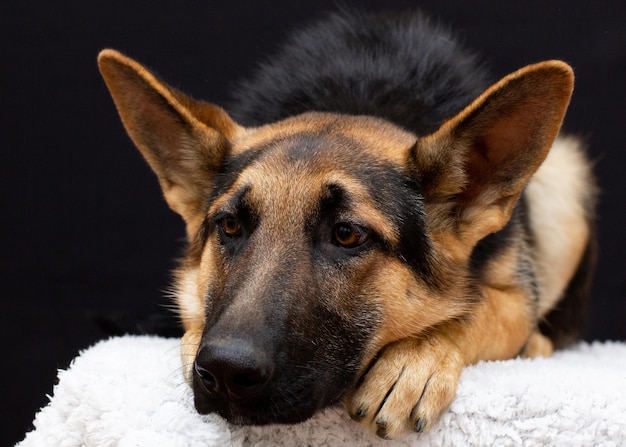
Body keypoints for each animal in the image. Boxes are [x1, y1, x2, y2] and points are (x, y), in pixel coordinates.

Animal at [97, 10, 596, 440]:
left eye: (346, 235)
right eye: (231, 226)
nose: (224, 370)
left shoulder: (517, 297)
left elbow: (477, 307)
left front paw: (415, 357)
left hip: (566, 178)